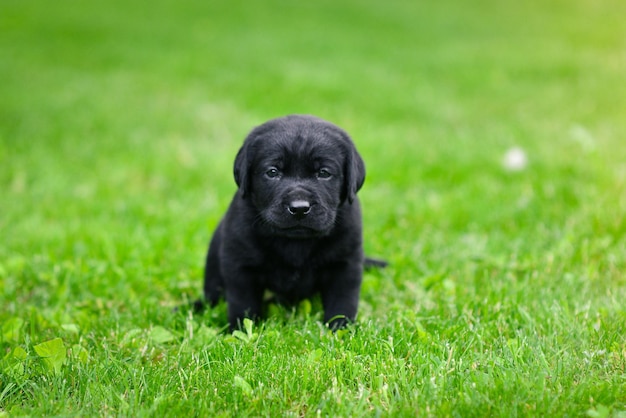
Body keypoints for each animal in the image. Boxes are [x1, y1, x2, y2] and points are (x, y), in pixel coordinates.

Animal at [200, 114, 380, 330]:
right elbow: (242, 303)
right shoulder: (239, 264)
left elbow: (343, 301)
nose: (299, 208)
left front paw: (340, 329)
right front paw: (240, 330)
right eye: (272, 172)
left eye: (324, 173)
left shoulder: (346, 263)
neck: (295, 243)